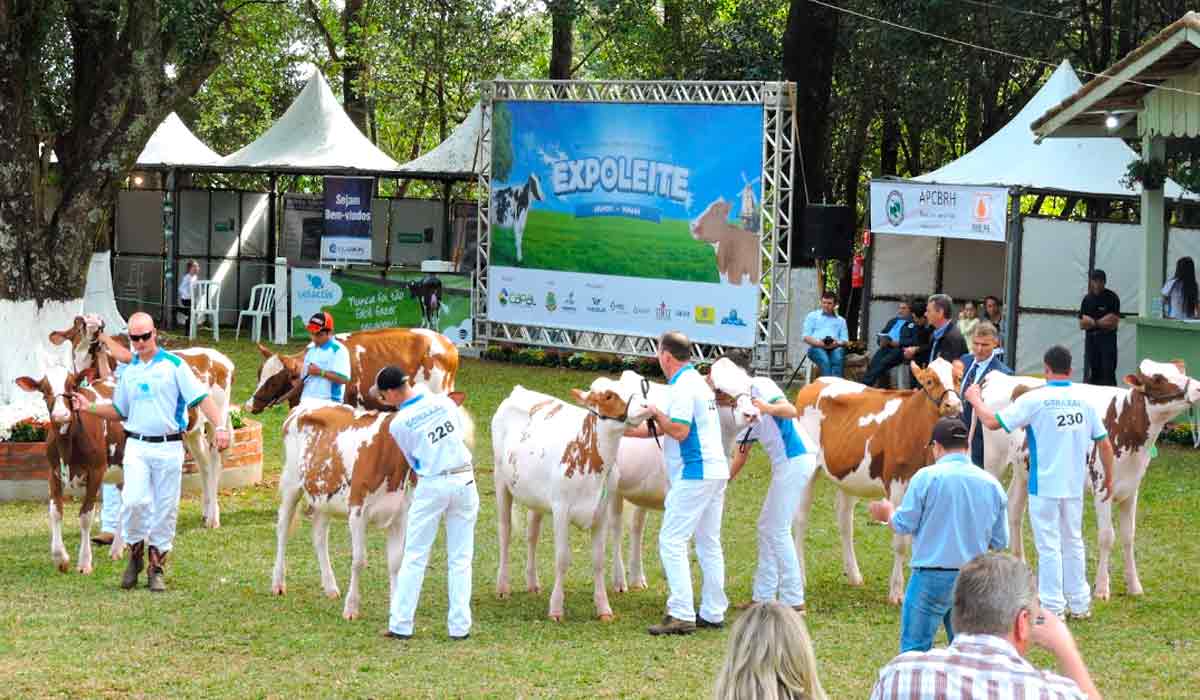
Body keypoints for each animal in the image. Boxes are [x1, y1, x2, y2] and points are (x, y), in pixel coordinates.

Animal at [16, 369, 126, 571]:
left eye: (72, 386)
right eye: (44, 390)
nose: (61, 415)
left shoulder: (97, 471)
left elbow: (85, 516)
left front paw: (84, 562)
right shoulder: (53, 472)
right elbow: (55, 512)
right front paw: (60, 558)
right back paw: (117, 549)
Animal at [272, 396, 472, 619]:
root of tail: (305, 404)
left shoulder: (400, 515)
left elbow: (396, 561)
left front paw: (394, 606)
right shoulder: (357, 512)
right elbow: (359, 560)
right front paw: (351, 608)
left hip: (323, 496)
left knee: (319, 537)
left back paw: (330, 587)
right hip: (291, 483)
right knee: (282, 529)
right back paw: (278, 583)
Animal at [489, 384, 652, 624]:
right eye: (608, 395)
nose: (647, 406)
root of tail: (519, 390)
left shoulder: (601, 511)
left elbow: (598, 560)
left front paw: (604, 608)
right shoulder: (561, 509)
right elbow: (562, 558)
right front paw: (556, 609)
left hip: (535, 498)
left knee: (532, 535)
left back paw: (532, 583)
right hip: (500, 479)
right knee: (505, 532)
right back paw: (502, 587)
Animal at [792, 357, 960, 605]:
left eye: (958, 377)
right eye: (929, 381)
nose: (953, 405)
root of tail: (814, 383)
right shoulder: (898, 487)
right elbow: (901, 544)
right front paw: (896, 593)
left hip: (848, 477)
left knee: (845, 522)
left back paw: (854, 575)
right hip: (808, 468)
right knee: (800, 520)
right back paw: (801, 578)